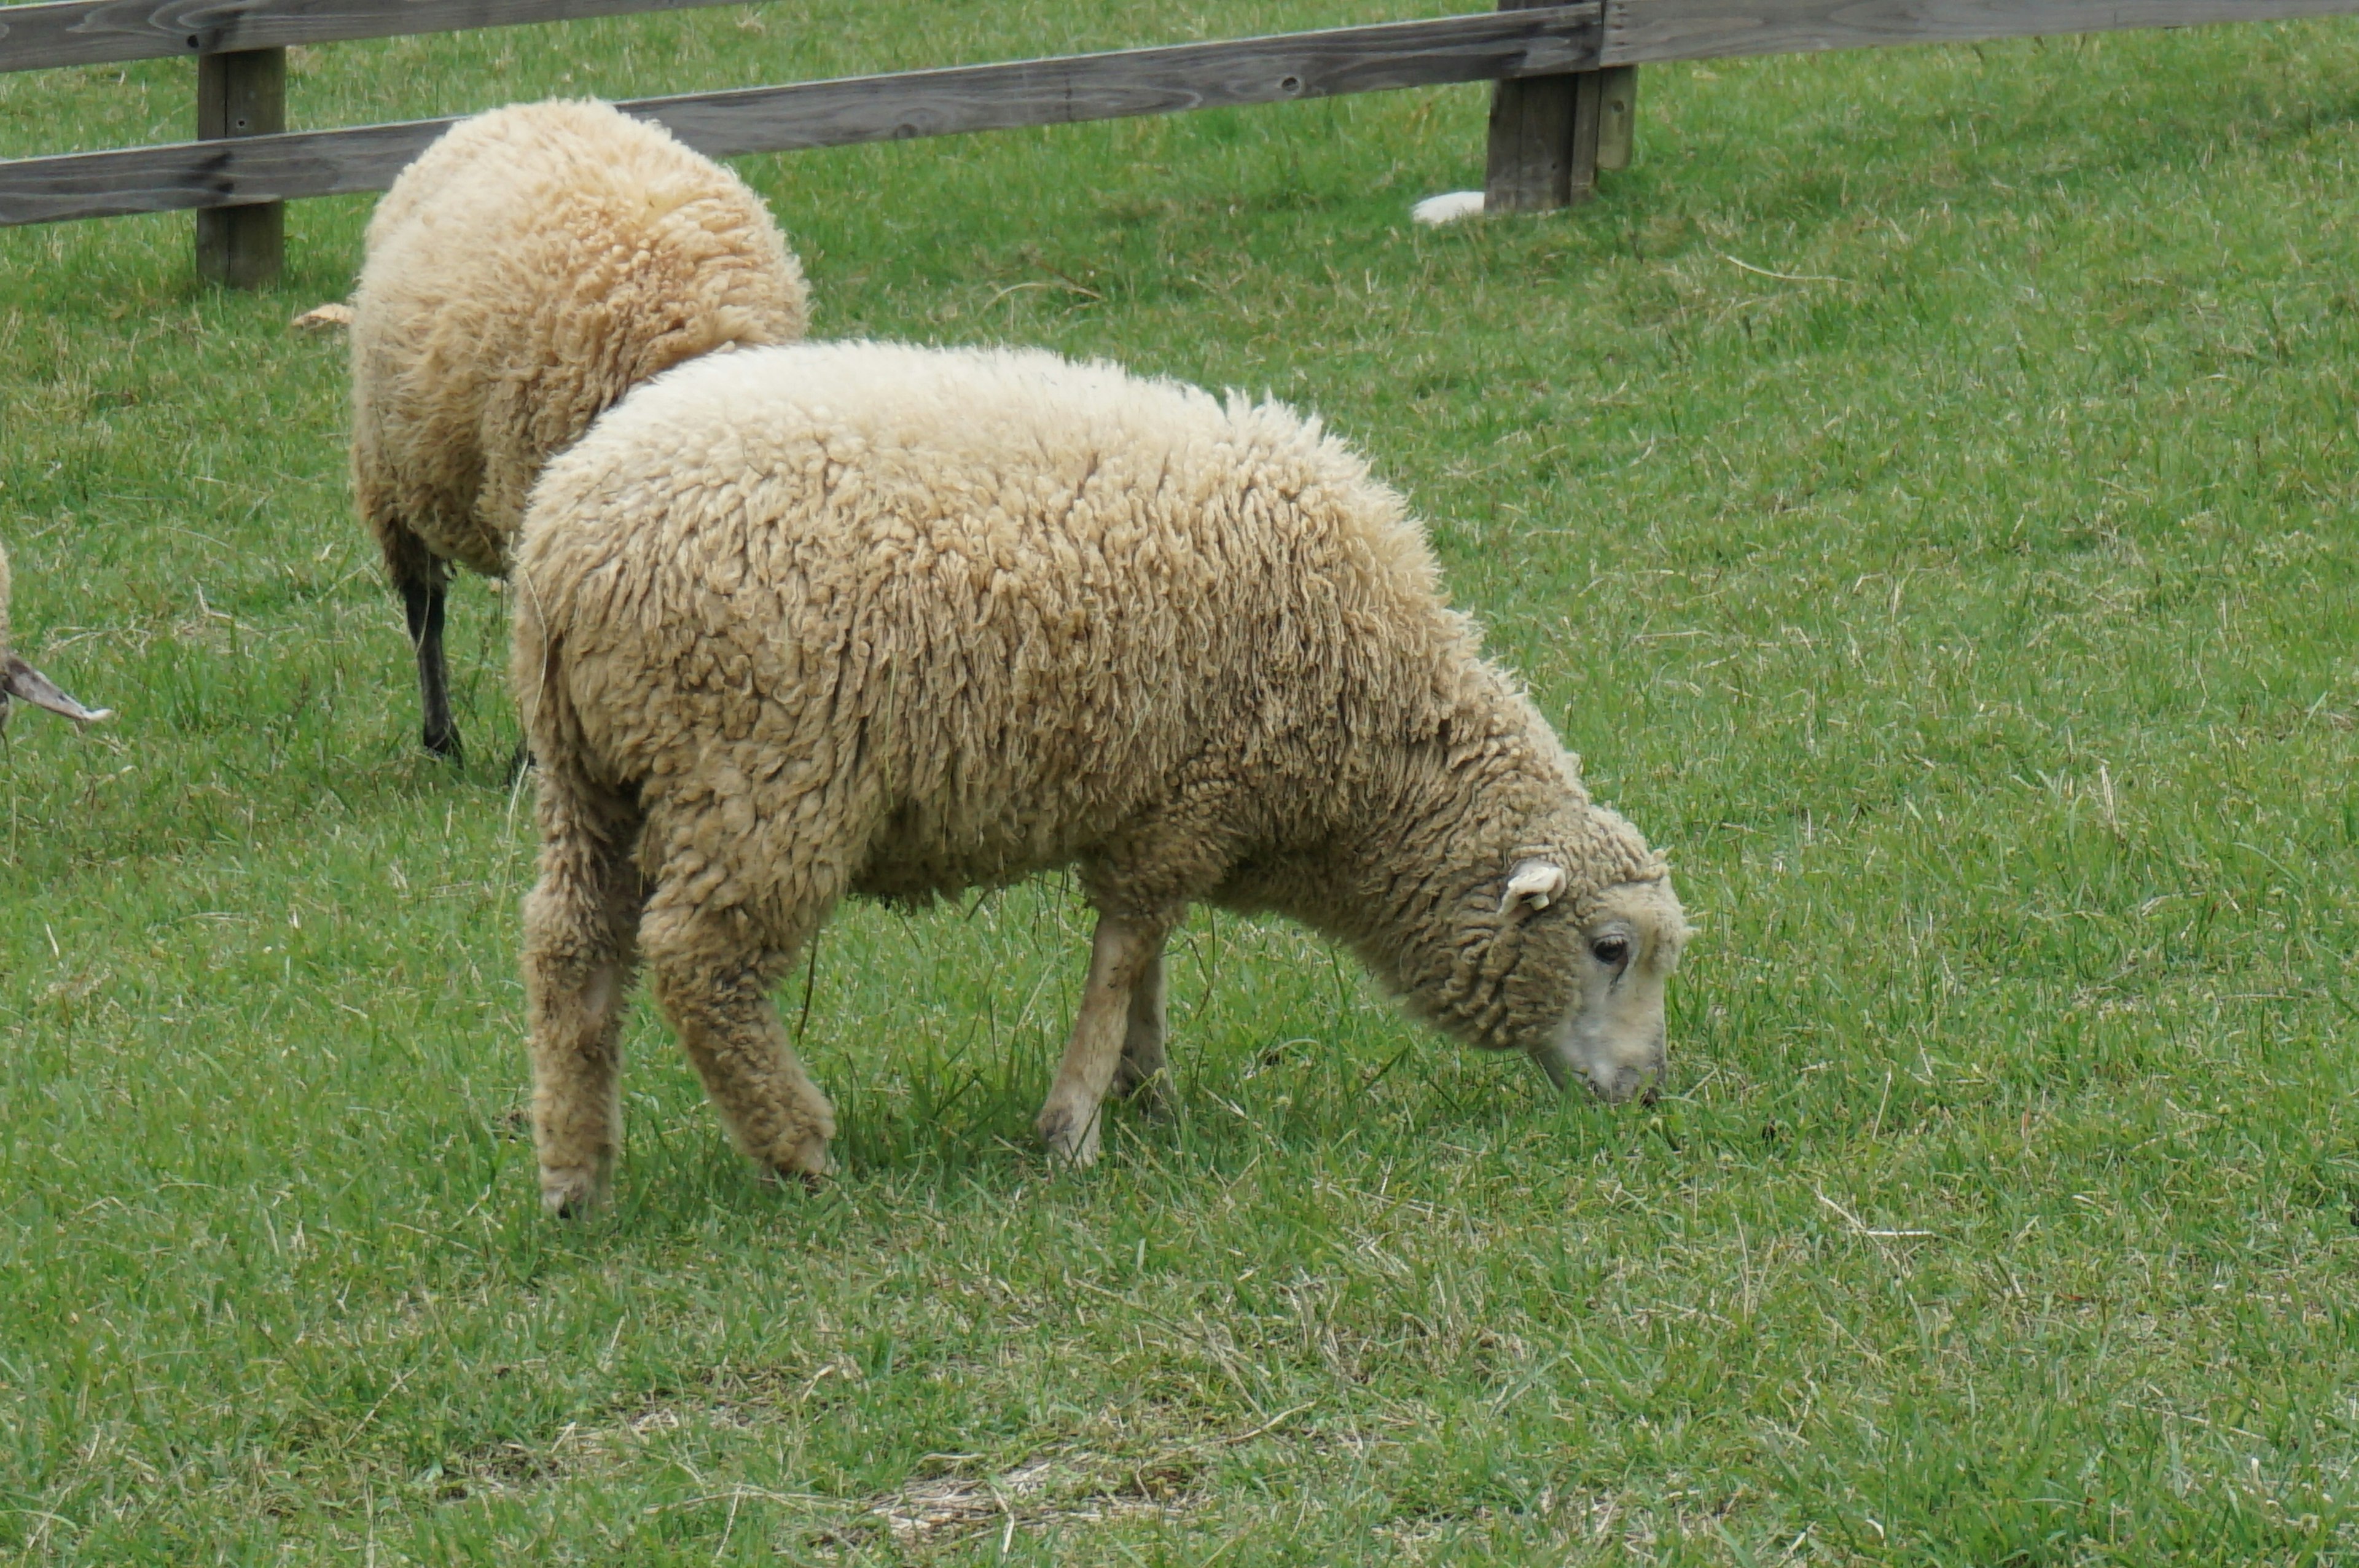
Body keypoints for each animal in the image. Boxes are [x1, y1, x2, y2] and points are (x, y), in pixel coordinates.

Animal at [507, 339, 1689, 1207]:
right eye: (1610, 947)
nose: (1647, 1097)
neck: (1374, 751)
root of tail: (562, 543)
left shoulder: (1162, 803)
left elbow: (1147, 958)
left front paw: (1146, 1089)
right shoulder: (1192, 802)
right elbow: (1125, 953)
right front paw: (1074, 1124)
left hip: (590, 779)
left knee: (569, 949)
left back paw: (575, 1174)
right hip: (758, 774)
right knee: (698, 962)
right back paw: (799, 1149)